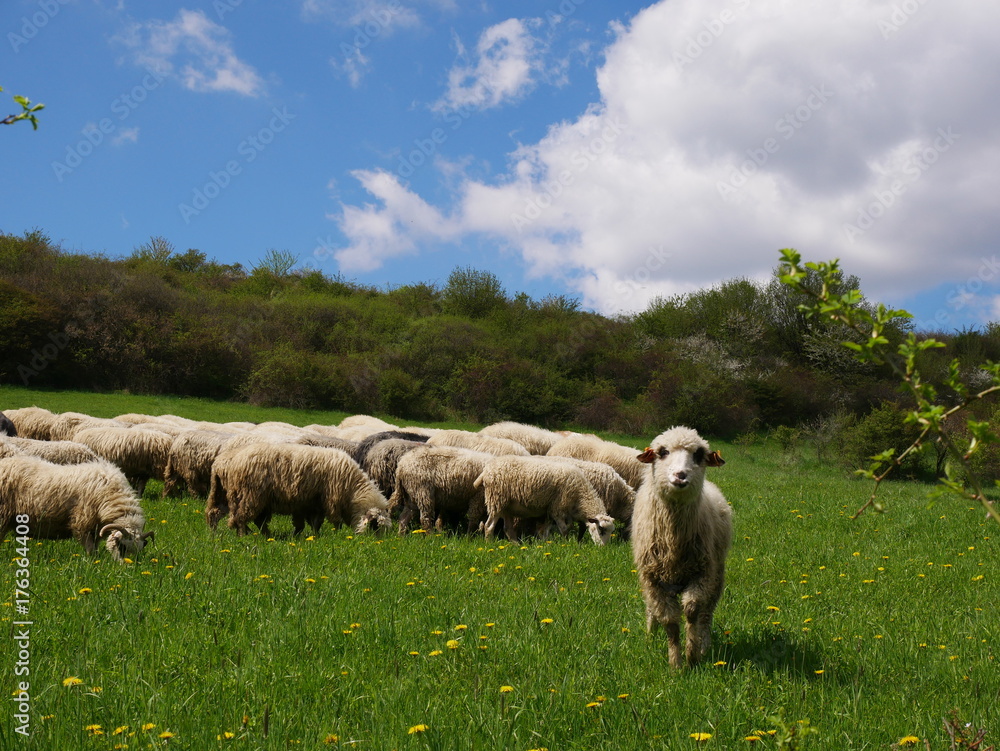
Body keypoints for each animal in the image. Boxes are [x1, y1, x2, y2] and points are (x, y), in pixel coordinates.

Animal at [0, 456, 153, 561]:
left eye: (139, 550)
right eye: (122, 546)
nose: (127, 567)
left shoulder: (95, 529)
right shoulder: (82, 524)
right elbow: (90, 549)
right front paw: (92, 564)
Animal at [216, 443, 389, 536]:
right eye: (375, 526)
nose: (373, 543)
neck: (352, 490)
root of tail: (234, 461)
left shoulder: (311, 503)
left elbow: (314, 523)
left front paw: (311, 537)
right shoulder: (330, 500)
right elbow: (335, 522)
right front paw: (335, 535)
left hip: (258, 499)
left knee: (256, 520)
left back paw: (266, 535)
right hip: (251, 495)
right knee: (241, 517)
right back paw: (244, 535)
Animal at [475, 456, 615, 545]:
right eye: (601, 530)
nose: (603, 548)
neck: (580, 497)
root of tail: (486, 471)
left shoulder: (550, 510)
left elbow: (546, 529)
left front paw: (544, 543)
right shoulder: (557, 508)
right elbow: (565, 529)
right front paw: (566, 544)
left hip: (507, 506)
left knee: (508, 528)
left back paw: (517, 545)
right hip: (497, 500)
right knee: (489, 526)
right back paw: (489, 544)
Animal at [631, 426, 731, 669]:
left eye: (698, 455)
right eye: (663, 452)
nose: (680, 475)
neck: (673, 541)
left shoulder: (701, 574)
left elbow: (692, 611)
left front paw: (692, 655)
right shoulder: (653, 579)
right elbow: (670, 621)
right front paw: (675, 664)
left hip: (716, 574)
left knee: (707, 613)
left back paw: (705, 645)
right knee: (651, 608)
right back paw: (650, 634)